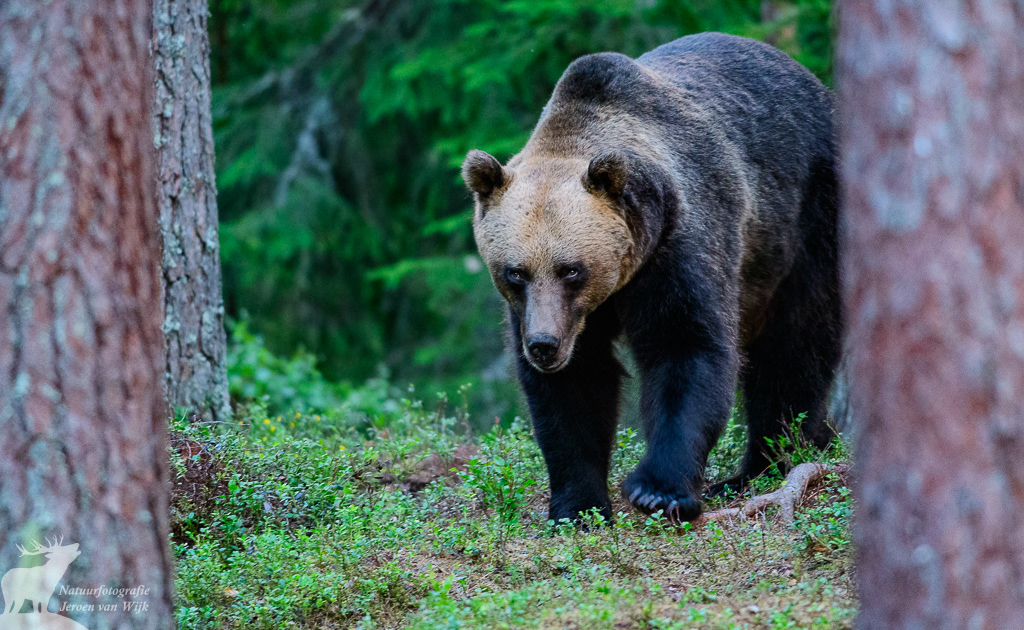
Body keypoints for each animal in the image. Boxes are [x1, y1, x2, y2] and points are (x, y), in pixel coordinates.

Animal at [462, 32, 841, 523]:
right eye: (515, 272)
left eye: (571, 269)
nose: (544, 345)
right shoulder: (551, 315)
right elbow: (576, 385)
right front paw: (577, 503)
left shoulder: (679, 243)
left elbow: (684, 346)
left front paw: (657, 490)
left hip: (807, 216)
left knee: (796, 342)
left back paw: (764, 464)